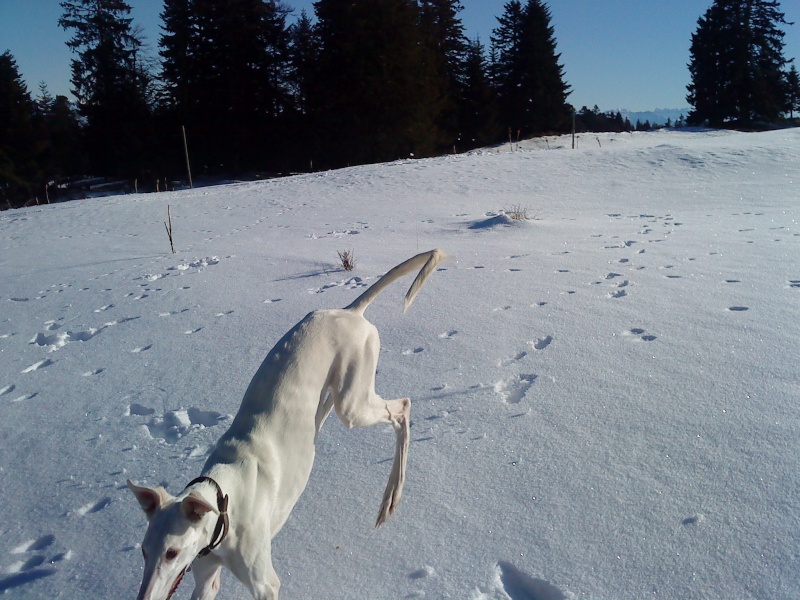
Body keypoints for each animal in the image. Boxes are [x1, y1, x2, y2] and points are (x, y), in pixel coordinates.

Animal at [128, 248, 446, 600]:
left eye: (172, 553)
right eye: (143, 551)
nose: (143, 599)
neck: (225, 500)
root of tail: (350, 312)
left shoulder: (266, 584)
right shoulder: (206, 577)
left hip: (353, 404)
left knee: (403, 407)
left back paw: (391, 498)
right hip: (337, 394)